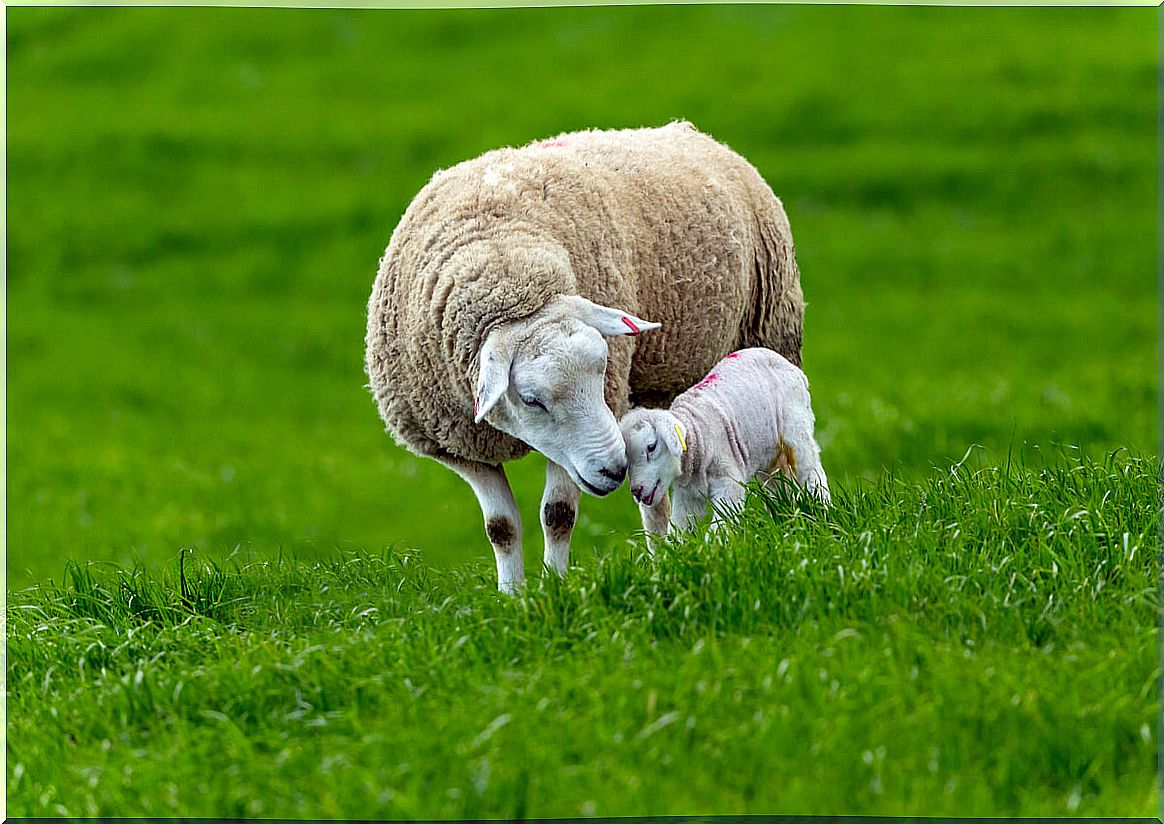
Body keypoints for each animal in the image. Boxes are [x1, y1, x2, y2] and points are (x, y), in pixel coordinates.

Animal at [367, 120, 805, 591]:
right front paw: (512, 595)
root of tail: (688, 131)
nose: (614, 470)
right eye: (531, 400)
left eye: (602, 369)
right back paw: (665, 559)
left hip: (773, 334)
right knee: (657, 499)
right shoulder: (462, 448)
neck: (497, 249)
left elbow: (557, 515)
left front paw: (555, 588)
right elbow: (500, 528)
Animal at [619, 346, 828, 544]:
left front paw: (715, 546)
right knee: (778, 483)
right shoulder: (689, 495)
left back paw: (821, 510)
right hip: (768, 452)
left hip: (796, 428)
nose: (636, 491)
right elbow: (680, 524)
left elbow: (721, 523)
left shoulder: (728, 479)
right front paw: (675, 551)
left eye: (651, 447)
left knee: (812, 470)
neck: (697, 435)